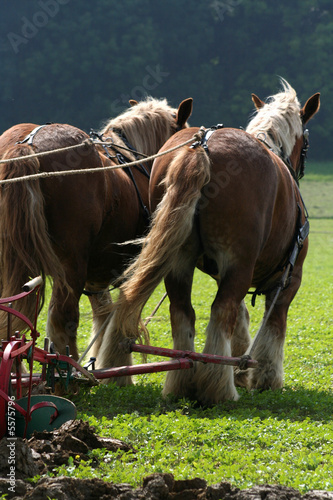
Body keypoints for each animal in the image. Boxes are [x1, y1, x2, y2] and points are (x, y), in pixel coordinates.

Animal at [96, 79, 320, 406]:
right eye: (306, 143)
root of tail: (200, 147)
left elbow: (242, 317)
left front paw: (242, 371)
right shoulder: (289, 279)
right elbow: (273, 326)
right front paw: (266, 379)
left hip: (179, 261)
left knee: (183, 312)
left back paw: (183, 382)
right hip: (239, 264)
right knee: (220, 312)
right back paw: (218, 388)